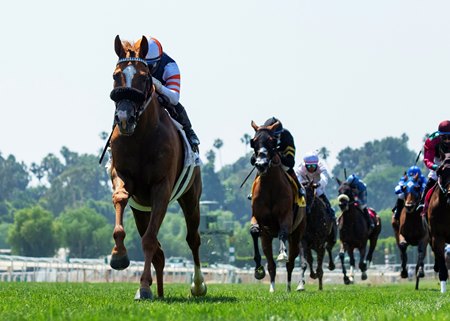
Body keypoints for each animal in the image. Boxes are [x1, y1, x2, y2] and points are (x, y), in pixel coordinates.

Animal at [108, 35, 207, 300]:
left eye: (144, 77)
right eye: (116, 75)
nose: (124, 118)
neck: (141, 137)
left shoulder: (161, 188)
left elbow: (150, 241)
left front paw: (143, 286)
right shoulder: (122, 176)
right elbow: (120, 198)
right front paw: (118, 256)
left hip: (191, 197)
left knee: (193, 239)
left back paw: (197, 285)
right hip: (141, 209)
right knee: (160, 252)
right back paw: (159, 290)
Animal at [248, 119, 308, 290]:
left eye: (272, 141)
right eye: (253, 141)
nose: (261, 164)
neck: (270, 188)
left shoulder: (286, 216)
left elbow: (283, 232)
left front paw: (282, 253)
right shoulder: (259, 219)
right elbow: (254, 231)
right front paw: (258, 269)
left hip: (297, 234)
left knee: (291, 263)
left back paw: (288, 287)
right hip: (267, 238)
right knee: (271, 264)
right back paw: (272, 287)